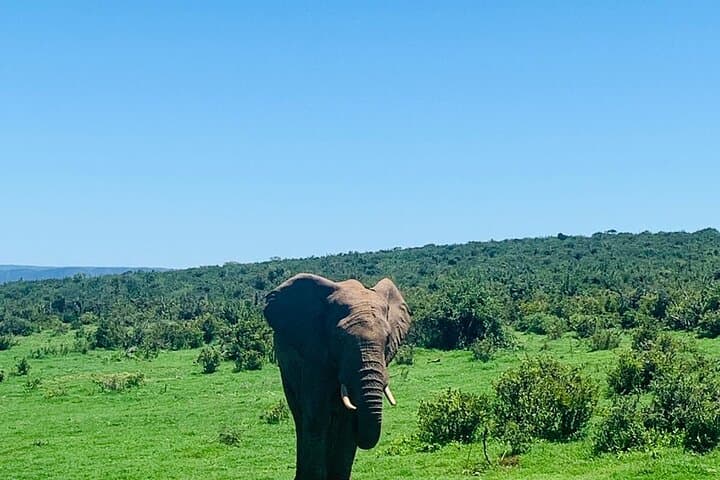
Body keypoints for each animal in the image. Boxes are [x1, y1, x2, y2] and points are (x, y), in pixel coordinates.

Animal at [263, 273, 412, 480]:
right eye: (339, 339)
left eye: (387, 339)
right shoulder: (314, 358)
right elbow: (317, 416)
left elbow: (346, 422)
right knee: (300, 415)